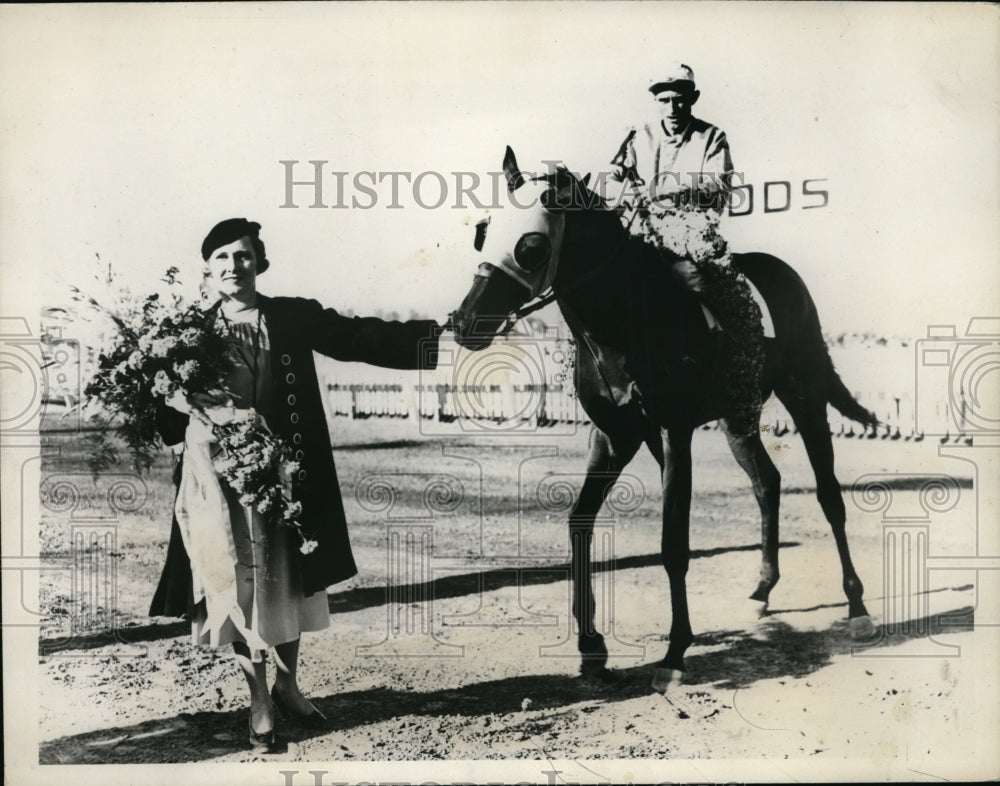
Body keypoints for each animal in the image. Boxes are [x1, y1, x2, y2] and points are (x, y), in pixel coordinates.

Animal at [450, 147, 880, 692]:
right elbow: (580, 524)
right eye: (482, 232)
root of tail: (788, 277)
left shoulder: (674, 432)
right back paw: (761, 591)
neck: (628, 318)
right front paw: (592, 648)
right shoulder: (614, 436)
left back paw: (858, 607)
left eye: (530, 245)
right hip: (738, 417)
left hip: (805, 398)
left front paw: (674, 655)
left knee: (828, 495)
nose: (465, 322)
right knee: (767, 483)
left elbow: (673, 543)